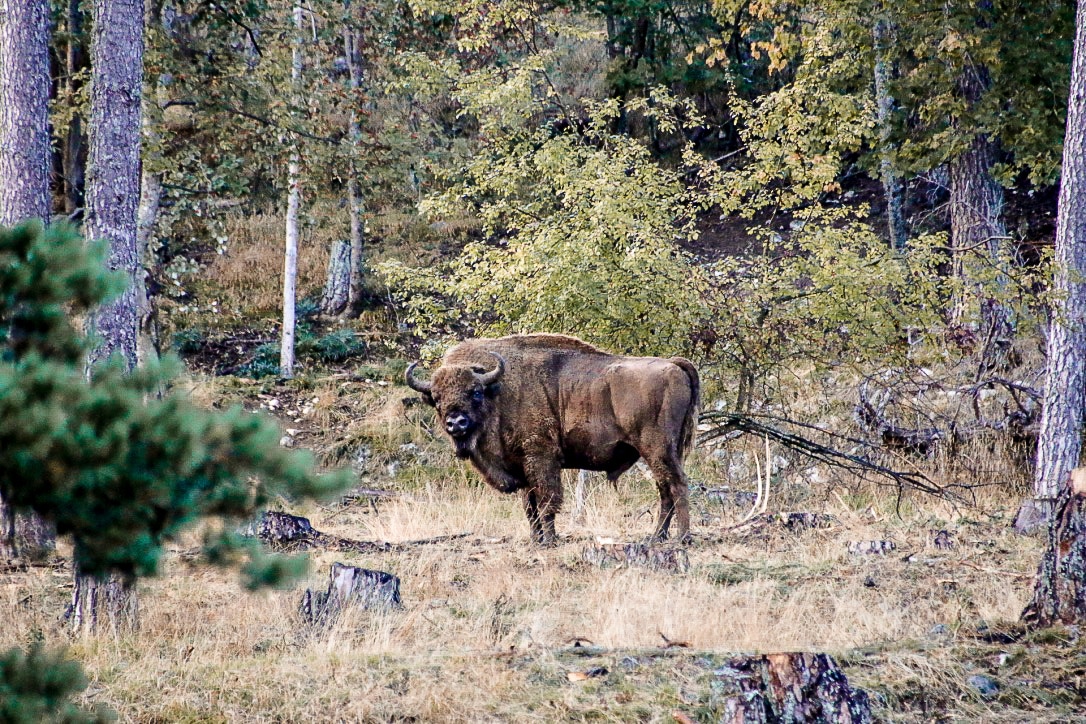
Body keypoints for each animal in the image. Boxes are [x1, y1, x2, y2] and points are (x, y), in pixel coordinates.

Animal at [403, 334, 699, 542]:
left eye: (475, 391)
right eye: (436, 398)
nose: (456, 422)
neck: (498, 391)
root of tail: (673, 365)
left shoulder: (541, 458)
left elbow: (547, 501)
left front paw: (550, 540)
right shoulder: (521, 466)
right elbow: (529, 506)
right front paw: (536, 540)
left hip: (657, 449)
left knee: (676, 486)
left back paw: (681, 538)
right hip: (664, 452)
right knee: (665, 490)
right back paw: (657, 537)